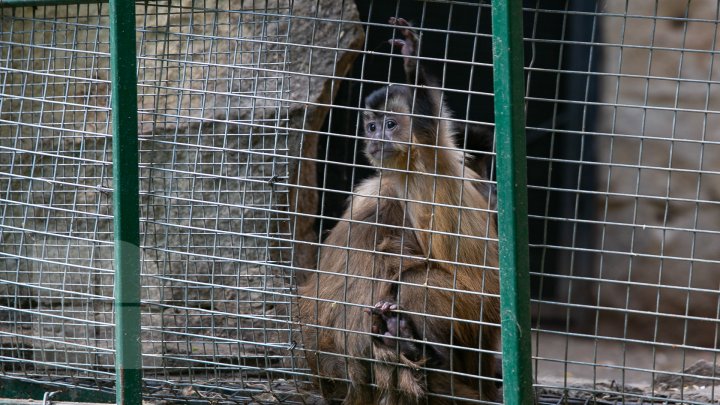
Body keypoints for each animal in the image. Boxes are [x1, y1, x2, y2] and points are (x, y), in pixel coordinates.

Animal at [298, 17, 500, 402]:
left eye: (390, 125)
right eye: (372, 126)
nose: (377, 138)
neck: (408, 172)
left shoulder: (429, 152)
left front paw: (411, 61)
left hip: (481, 307)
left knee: (414, 284)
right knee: (413, 283)